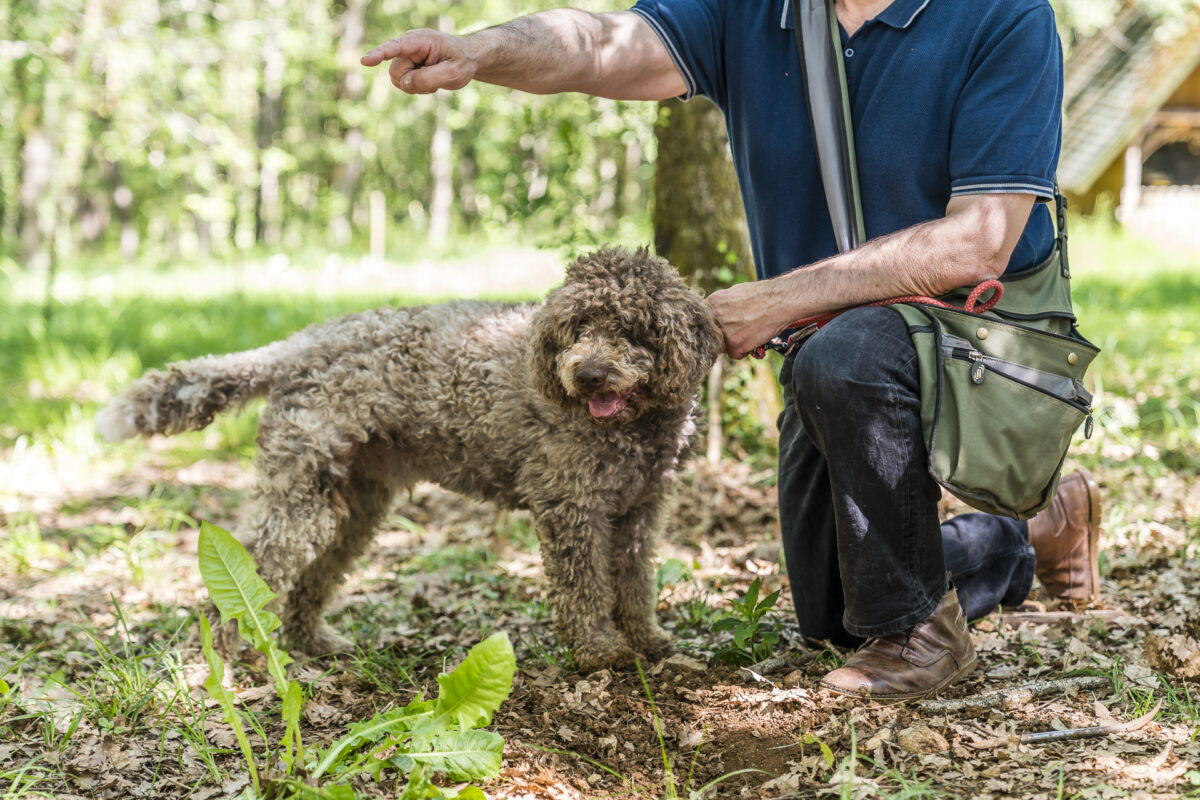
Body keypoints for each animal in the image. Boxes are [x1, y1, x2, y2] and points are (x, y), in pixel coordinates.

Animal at [98, 247, 715, 671]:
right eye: (579, 326)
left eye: (631, 328)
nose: (587, 374)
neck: (631, 426)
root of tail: (295, 345)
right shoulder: (573, 509)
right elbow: (584, 589)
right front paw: (598, 651)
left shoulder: (639, 512)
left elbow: (634, 583)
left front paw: (647, 639)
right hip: (298, 496)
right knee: (251, 570)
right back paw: (225, 656)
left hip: (352, 504)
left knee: (312, 578)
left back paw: (310, 641)